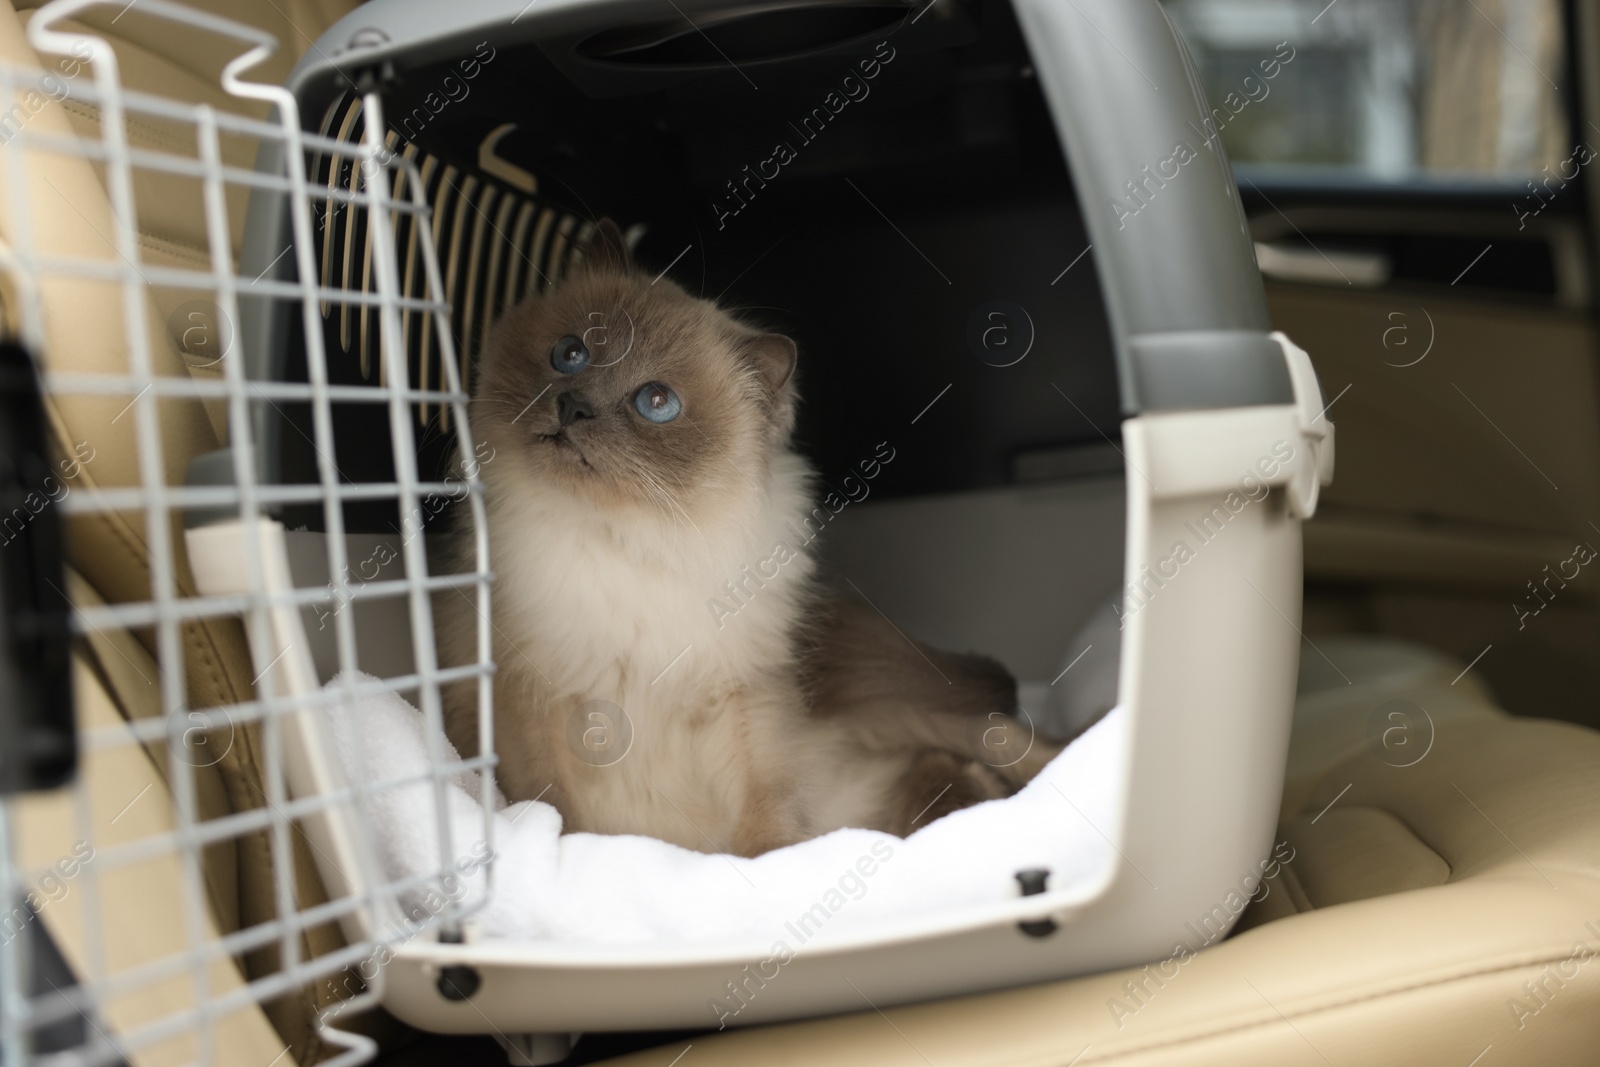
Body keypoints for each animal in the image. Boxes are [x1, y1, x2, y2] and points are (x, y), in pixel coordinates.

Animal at [441, 219, 1062, 857]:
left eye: (656, 402)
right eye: (570, 354)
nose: (573, 406)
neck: (631, 538)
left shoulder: (747, 702)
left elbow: (768, 809)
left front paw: (776, 863)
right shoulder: (527, 705)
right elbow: (555, 812)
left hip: (900, 707)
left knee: (1015, 745)